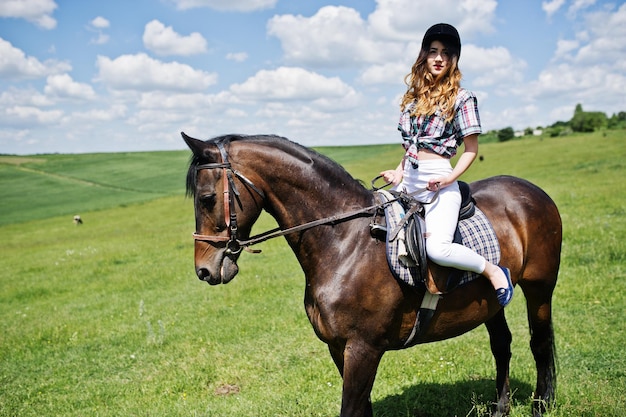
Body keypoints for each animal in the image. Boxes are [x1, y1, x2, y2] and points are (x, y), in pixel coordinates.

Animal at [182, 132, 560, 416]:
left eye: (206, 198)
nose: (203, 269)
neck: (345, 242)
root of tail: (531, 191)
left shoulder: (363, 349)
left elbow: (351, 409)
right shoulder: (339, 348)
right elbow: (363, 409)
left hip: (540, 288)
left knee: (540, 342)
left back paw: (541, 405)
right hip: (489, 303)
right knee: (502, 346)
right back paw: (500, 408)